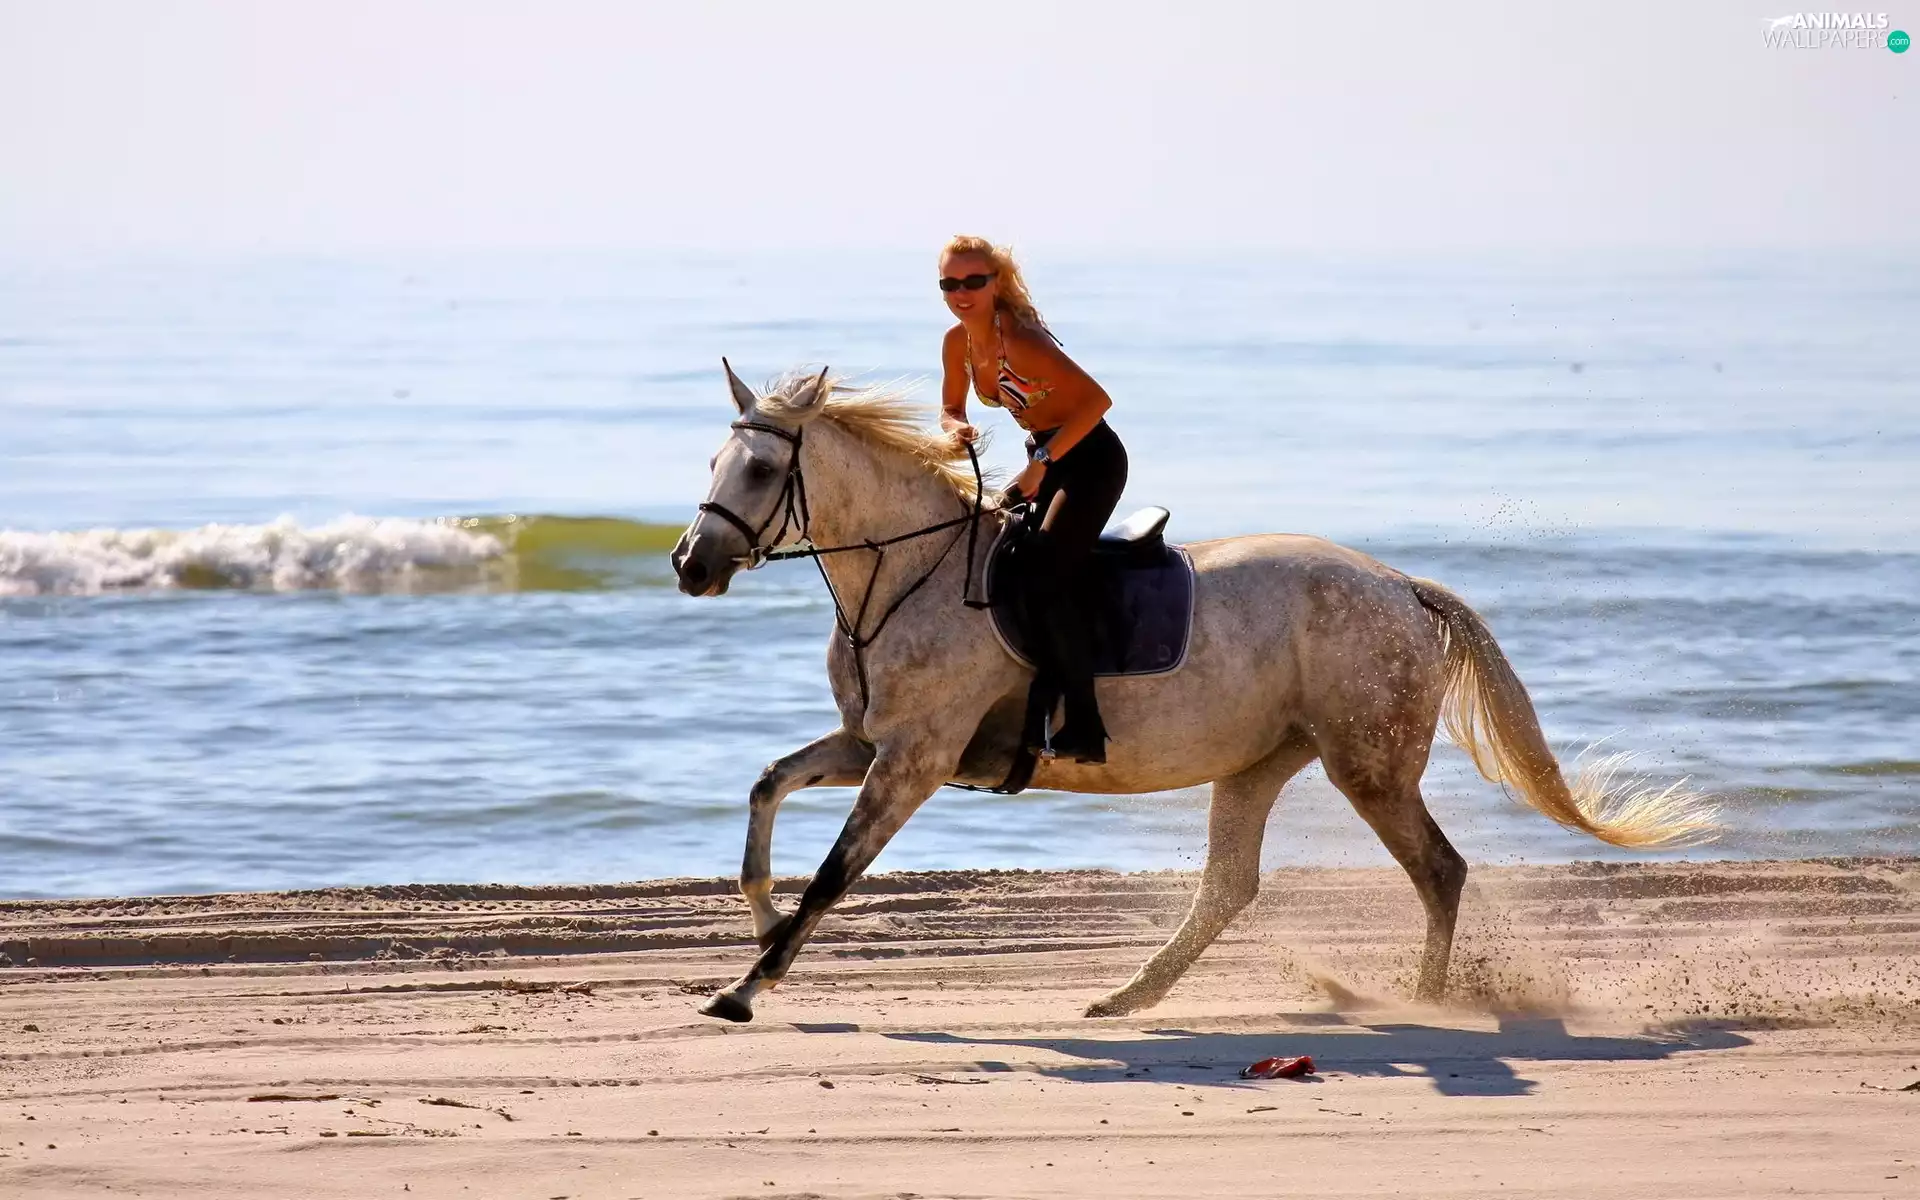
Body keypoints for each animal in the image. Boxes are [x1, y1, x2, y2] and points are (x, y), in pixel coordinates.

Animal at [670, 364, 1717, 1023]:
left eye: (759, 468)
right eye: (711, 464)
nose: (690, 566)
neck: (909, 575)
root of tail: (1401, 587)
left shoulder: (915, 761)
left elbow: (833, 875)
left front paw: (744, 989)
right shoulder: (872, 743)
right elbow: (767, 787)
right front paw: (758, 921)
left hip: (1367, 767)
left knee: (1439, 871)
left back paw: (1425, 1005)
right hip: (1262, 762)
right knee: (1229, 887)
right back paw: (1128, 997)